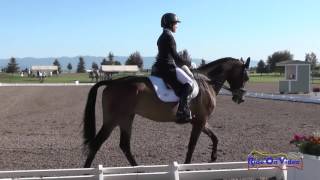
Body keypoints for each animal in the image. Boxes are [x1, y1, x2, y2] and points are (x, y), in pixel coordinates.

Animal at [82, 56, 250, 167]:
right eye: (245, 76)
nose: (240, 98)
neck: (207, 82)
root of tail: (112, 82)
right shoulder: (200, 121)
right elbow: (192, 145)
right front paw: (187, 167)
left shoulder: (199, 120)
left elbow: (214, 137)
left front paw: (214, 157)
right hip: (113, 120)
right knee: (97, 143)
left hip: (126, 118)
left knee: (124, 145)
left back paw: (139, 170)